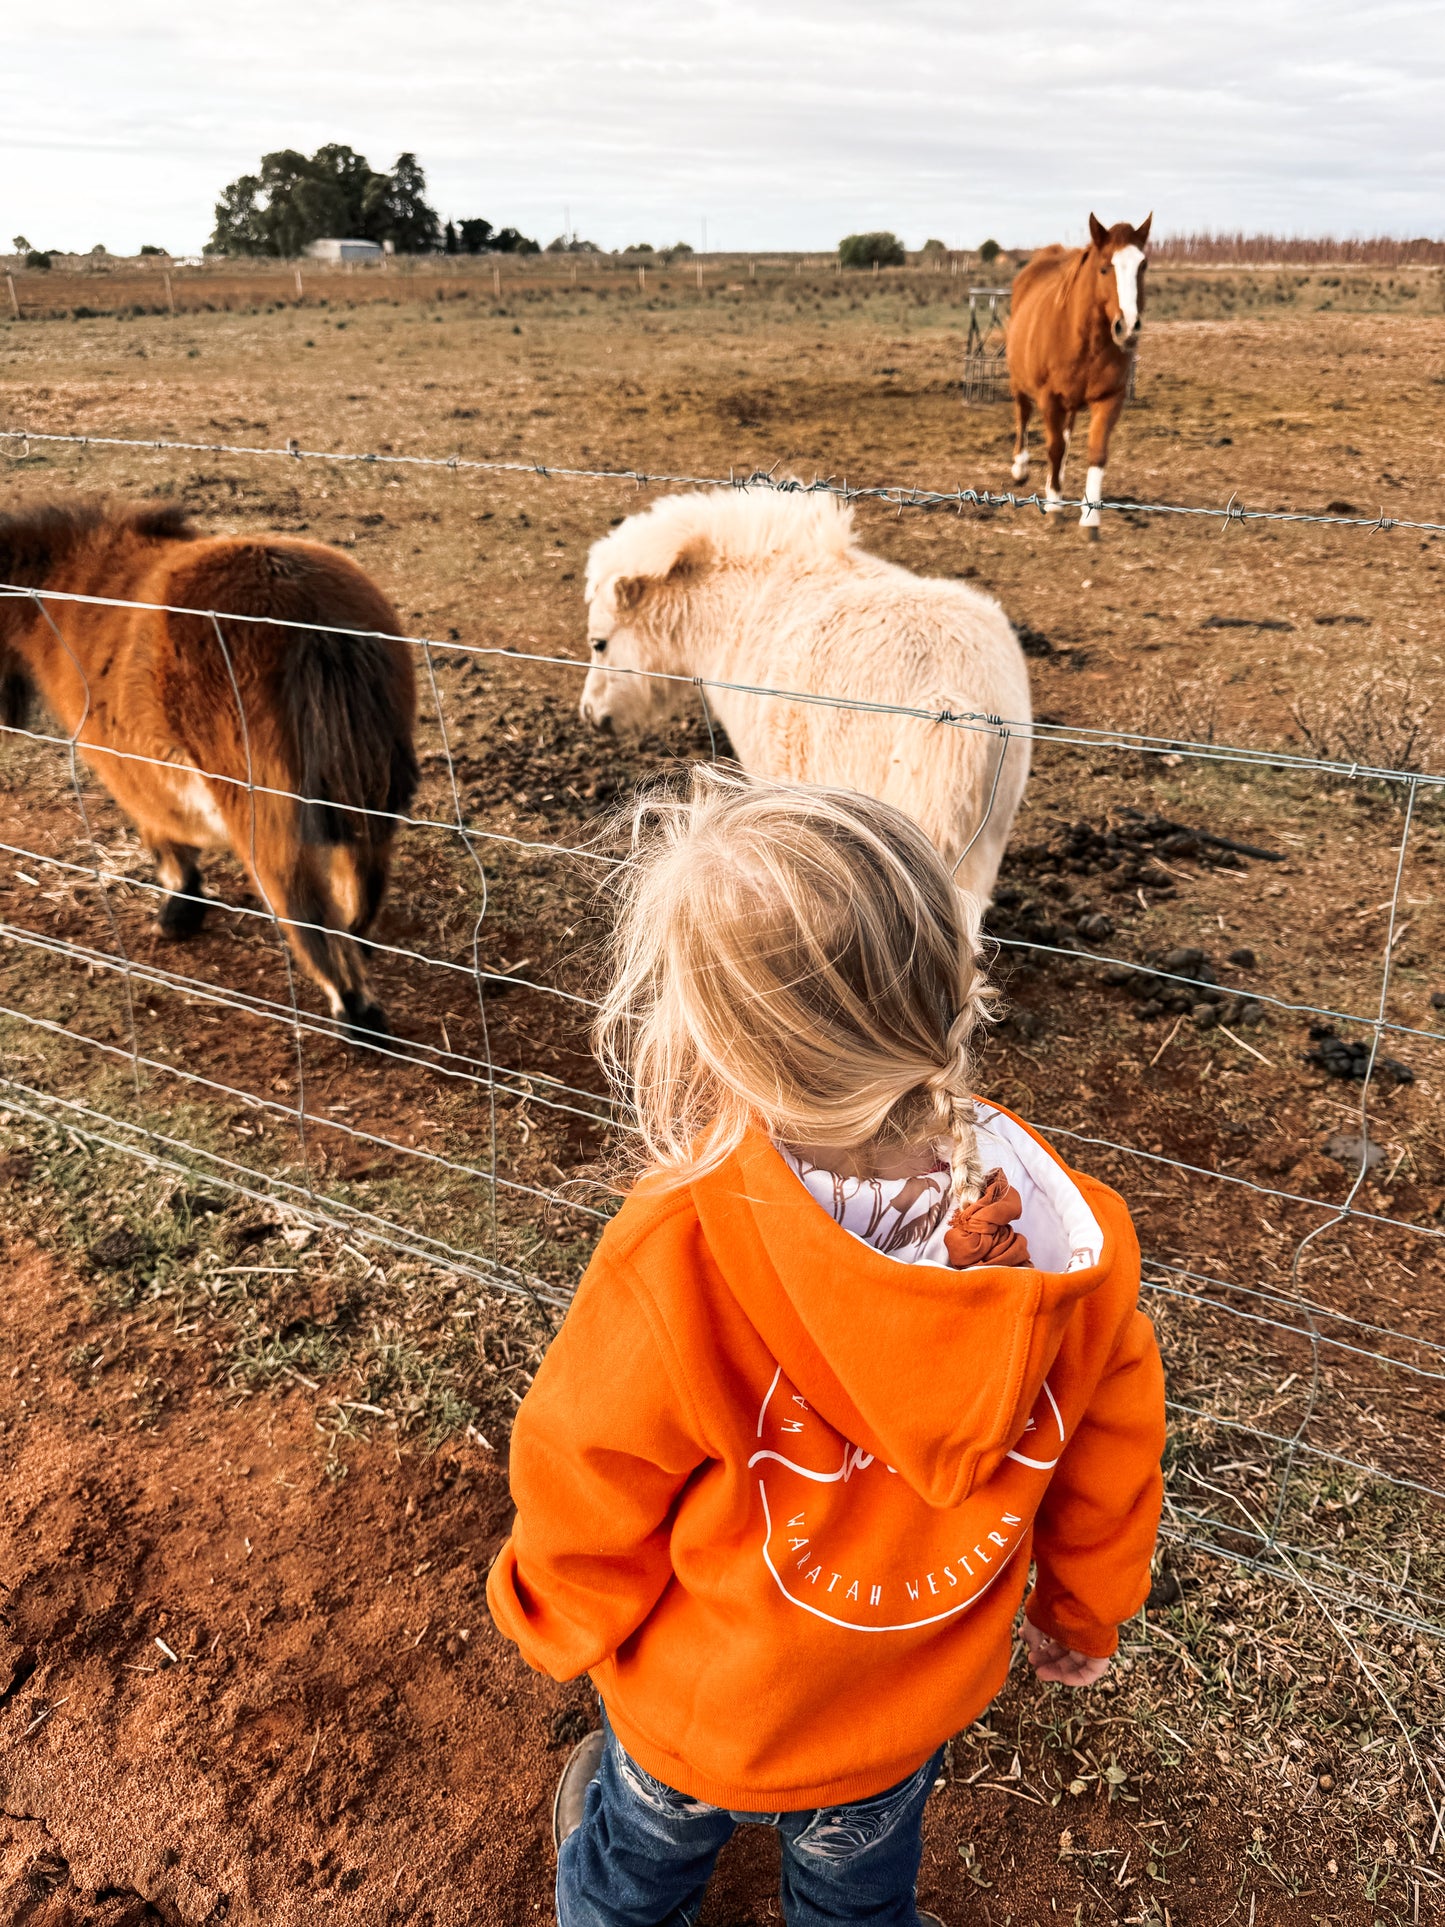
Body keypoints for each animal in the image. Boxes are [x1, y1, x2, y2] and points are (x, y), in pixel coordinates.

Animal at [0, 497, 418, 1040]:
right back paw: (359, 950)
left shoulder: (131, 770)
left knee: (304, 908)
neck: (71, 587)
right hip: (362, 789)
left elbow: (166, 845)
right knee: (363, 880)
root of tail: (314, 619)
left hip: (265, 814)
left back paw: (355, 1014)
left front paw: (178, 913)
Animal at [1009, 212, 1156, 535]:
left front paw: (1090, 519)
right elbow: (1053, 448)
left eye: (1143, 265)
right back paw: (1020, 467)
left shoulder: (1110, 399)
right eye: (1104, 268)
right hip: (1020, 383)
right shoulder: (1049, 398)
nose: (1128, 327)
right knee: (1023, 415)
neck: (1086, 342)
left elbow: (1095, 453)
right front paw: (1053, 506)